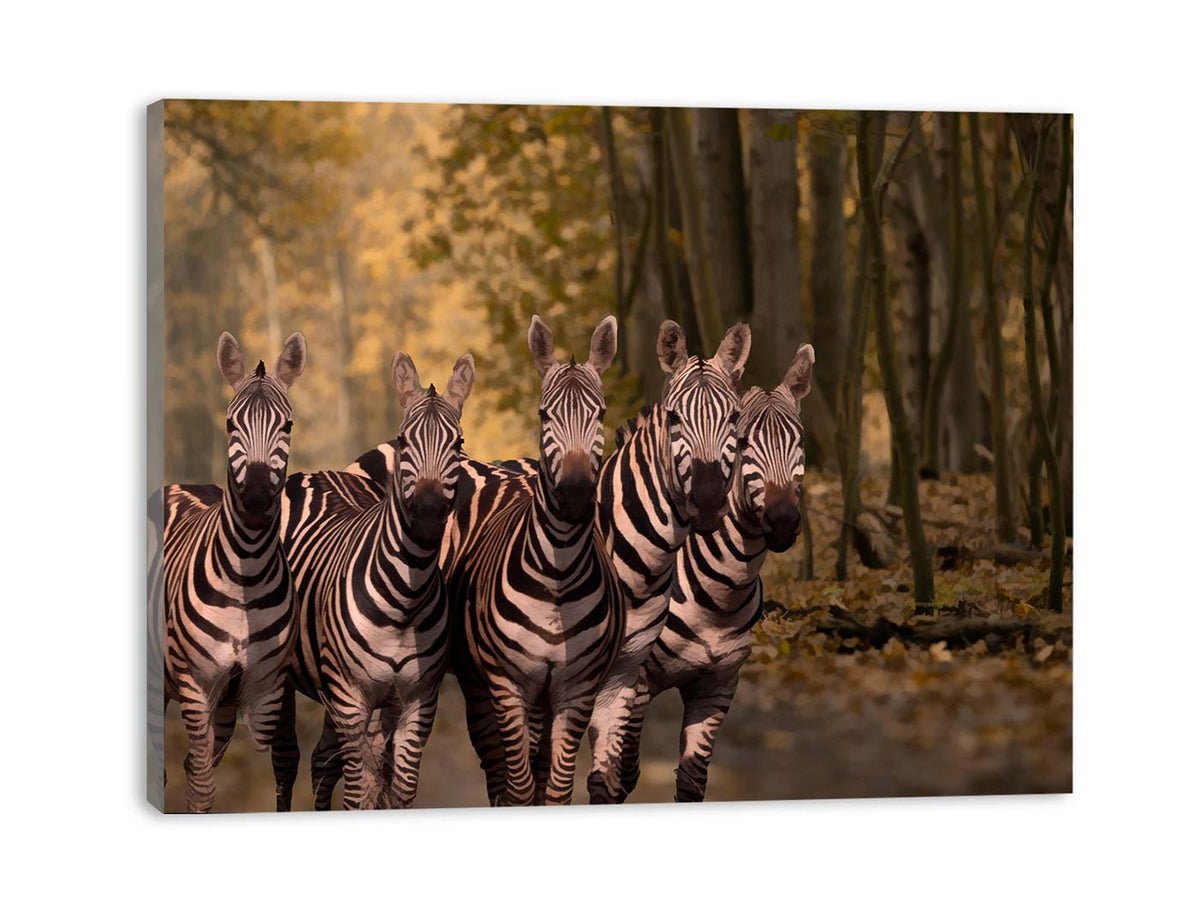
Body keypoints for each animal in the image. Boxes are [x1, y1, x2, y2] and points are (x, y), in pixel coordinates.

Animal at [161, 331, 307, 813]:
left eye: (287, 427)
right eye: (229, 425)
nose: (258, 501)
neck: (247, 576)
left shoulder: (261, 691)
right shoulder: (196, 685)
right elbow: (203, 786)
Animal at [272, 351, 475, 810]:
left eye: (458, 444)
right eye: (402, 441)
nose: (428, 514)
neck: (405, 598)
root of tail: (319, 472)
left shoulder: (418, 701)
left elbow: (398, 790)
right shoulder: (351, 697)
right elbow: (359, 793)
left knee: (322, 762)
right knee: (288, 762)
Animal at [449, 315, 624, 806]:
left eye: (601, 413)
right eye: (545, 415)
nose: (576, 494)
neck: (558, 574)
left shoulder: (577, 689)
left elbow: (556, 788)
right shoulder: (509, 686)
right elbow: (521, 787)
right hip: (482, 685)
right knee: (500, 768)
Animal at [622, 343, 814, 801]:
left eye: (800, 441)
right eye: (742, 442)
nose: (783, 520)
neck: (721, 593)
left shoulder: (718, 686)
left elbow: (693, 781)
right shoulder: (635, 683)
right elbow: (623, 773)